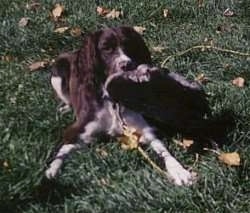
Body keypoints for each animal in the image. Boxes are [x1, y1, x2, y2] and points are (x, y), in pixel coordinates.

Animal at [45, 25, 197, 186]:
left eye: (128, 44)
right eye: (106, 48)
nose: (126, 64)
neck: (113, 103)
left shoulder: (144, 129)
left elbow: (164, 151)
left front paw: (179, 171)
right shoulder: (79, 131)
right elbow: (62, 152)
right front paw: (51, 172)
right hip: (58, 70)